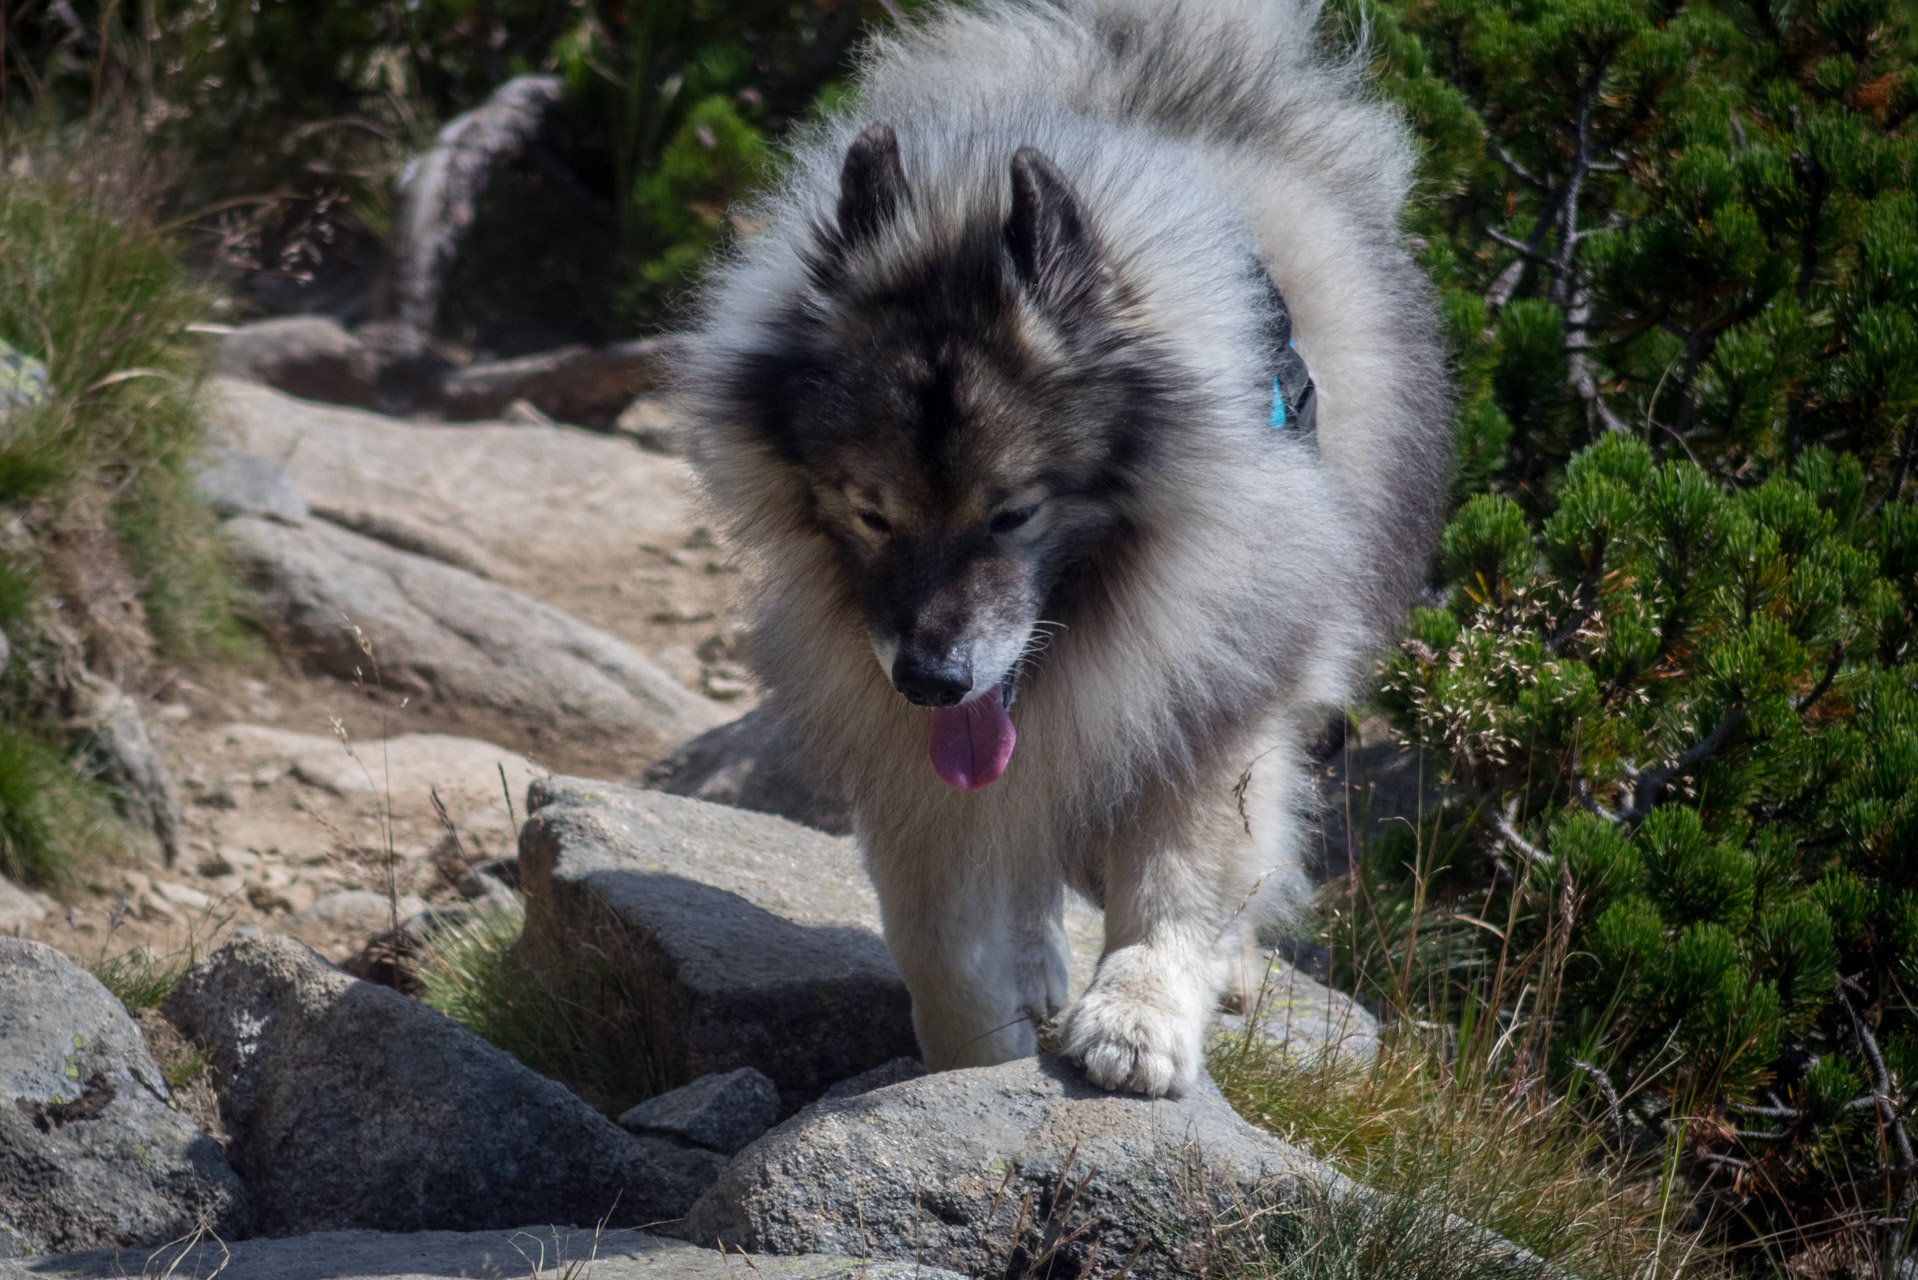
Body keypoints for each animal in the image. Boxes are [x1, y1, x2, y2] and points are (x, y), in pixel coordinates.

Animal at [675, 0, 1442, 1097]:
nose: (931, 678)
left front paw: (1140, 1017)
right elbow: (942, 941)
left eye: (1014, 514)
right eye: (871, 514)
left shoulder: (1211, 693)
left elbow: (1177, 878)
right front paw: (973, 1056)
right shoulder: (912, 758)